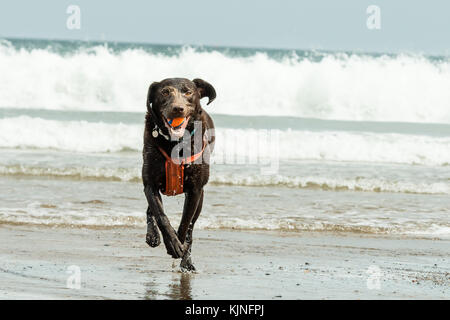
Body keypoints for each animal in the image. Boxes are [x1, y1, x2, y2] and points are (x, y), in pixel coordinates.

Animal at [142, 77, 216, 270]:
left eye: (188, 92)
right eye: (165, 92)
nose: (178, 108)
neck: (176, 143)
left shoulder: (195, 190)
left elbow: (185, 222)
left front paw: (178, 245)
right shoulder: (150, 184)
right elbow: (160, 215)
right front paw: (171, 242)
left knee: (191, 227)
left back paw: (187, 261)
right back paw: (153, 236)